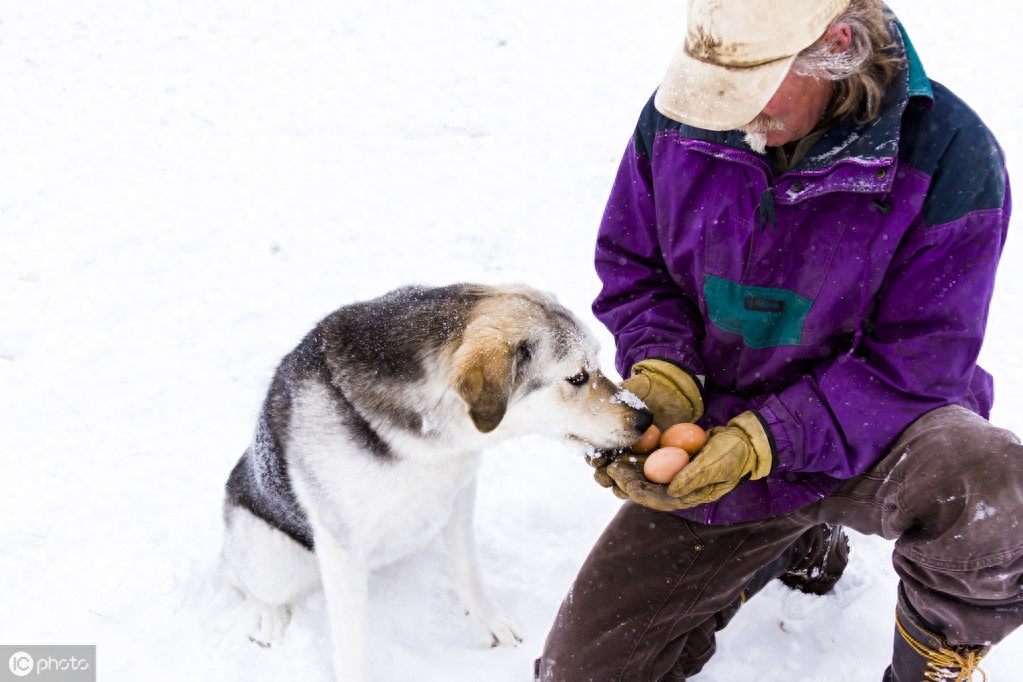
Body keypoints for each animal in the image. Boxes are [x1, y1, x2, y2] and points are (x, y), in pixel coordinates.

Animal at [221, 282, 654, 678]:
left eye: (598, 363)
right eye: (578, 377)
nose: (646, 418)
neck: (433, 436)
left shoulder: (459, 492)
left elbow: (468, 567)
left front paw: (486, 621)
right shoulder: (340, 543)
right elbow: (351, 638)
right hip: (274, 556)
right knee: (241, 579)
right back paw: (267, 616)